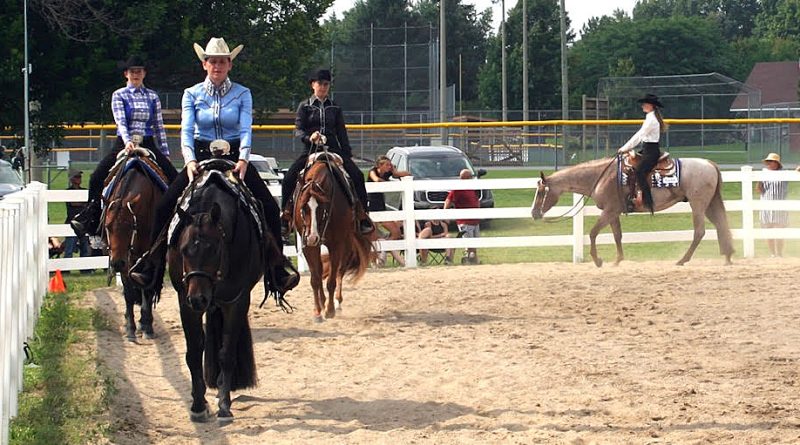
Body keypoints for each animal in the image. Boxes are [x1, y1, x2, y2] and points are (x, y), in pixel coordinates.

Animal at [294, 154, 376, 320]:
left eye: (322, 207)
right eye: (303, 207)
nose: (312, 237)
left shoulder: (337, 244)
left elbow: (331, 280)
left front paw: (330, 310)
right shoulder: (308, 246)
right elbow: (315, 278)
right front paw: (318, 311)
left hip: (347, 242)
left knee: (340, 270)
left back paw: (337, 302)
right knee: (322, 271)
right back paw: (323, 301)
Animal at [528, 156, 736, 268]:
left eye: (541, 192)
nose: (534, 213)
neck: (601, 177)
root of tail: (709, 164)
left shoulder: (609, 210)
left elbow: (593, 233)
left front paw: (598, 260)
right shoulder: (613, 212)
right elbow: (617, 236)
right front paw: (617, 260)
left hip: (698, 204)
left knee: (699, 231)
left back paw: (682, 260)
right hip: (709, 204)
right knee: (720, 224)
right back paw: (727, 257)